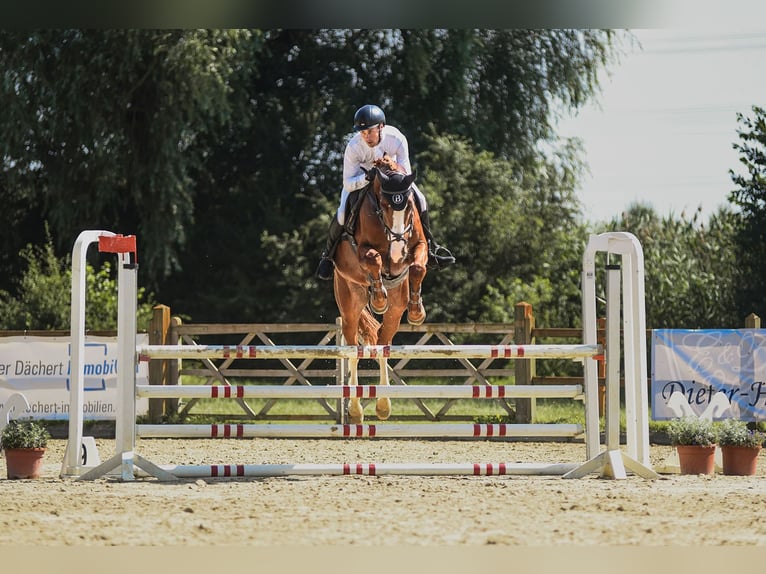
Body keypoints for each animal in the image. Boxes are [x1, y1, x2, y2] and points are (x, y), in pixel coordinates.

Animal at [332, 156, 428, 424]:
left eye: (408, 206)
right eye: (384, 205)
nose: (397, 253)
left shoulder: (419, 245)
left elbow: (417, 266)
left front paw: (417, 311)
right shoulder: (364, 251)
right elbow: (374, 258)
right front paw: (378, 298)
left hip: (395, 310)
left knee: (384, 346)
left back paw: (384, 405)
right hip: (348, 307)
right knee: (353, 351)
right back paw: (355, 410)